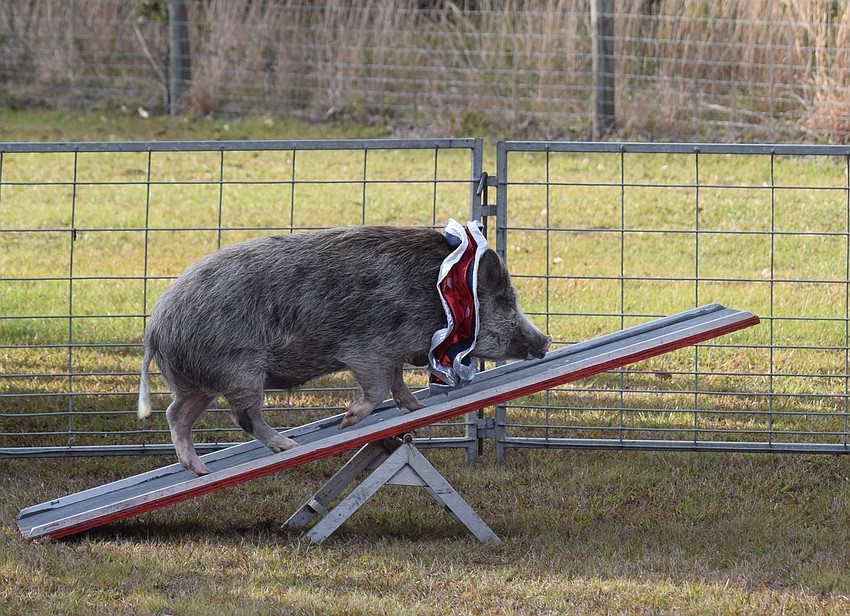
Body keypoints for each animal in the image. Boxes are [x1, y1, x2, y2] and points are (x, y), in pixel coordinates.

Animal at [138, 225, 550, 475]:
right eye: (506, 300)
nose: (545, 341)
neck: (438, 295)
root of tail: (156, 325)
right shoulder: (368, 349)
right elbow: (377, 388)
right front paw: (346, 422)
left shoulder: (392, 351)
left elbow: (398, 384)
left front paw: (418, 408)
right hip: (239, 368)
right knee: (243, 416)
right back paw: (287, 446)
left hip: (199, 382)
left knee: (176, 414)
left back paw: (199, 469)